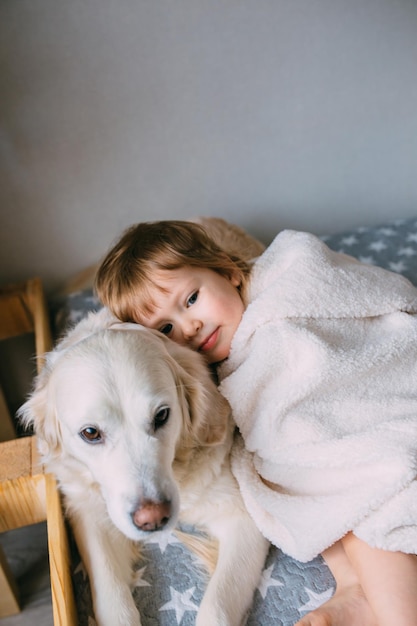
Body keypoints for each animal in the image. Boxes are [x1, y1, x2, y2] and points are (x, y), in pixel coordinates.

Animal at [19, 308, 268, 624]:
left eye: (161, 415)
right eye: (90, 433)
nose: (153, 518)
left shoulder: (242, 516)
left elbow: (218, 607)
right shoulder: (90, 516)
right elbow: (113, 600)